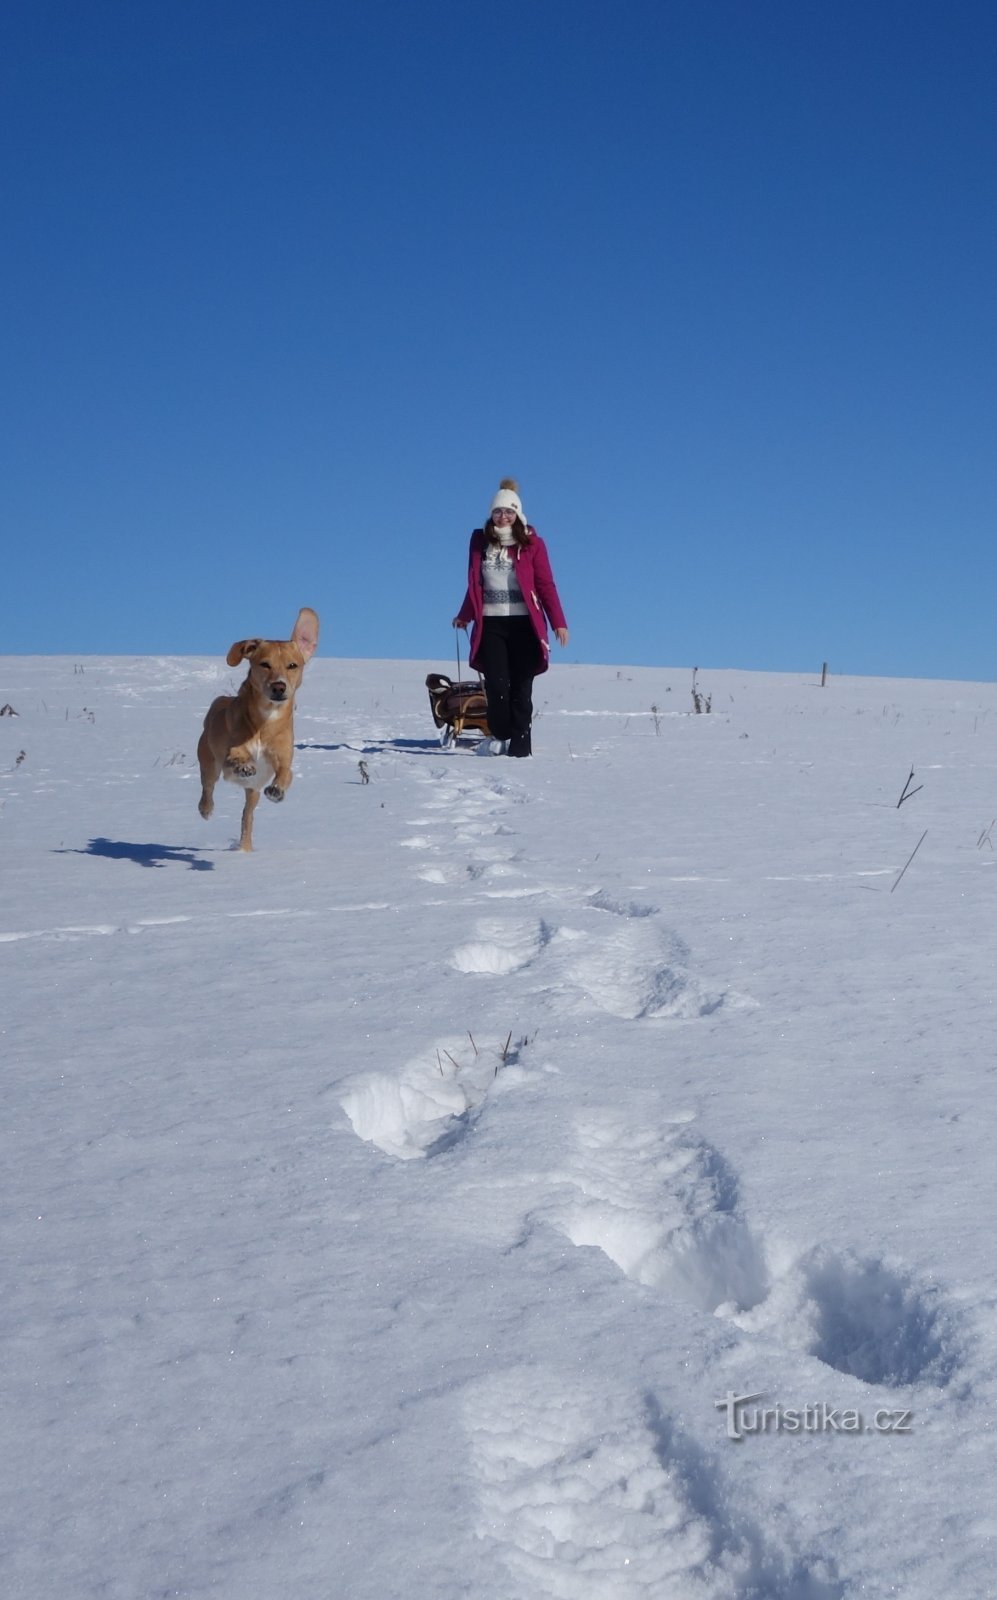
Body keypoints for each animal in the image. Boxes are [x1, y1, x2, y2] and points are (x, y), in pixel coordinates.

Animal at [196, 604, 318, 851]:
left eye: (293, 665)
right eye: (264, 664)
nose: (279, 686)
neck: (266, 721)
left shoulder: (283, 756)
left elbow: (286, 773)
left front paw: (277, 790)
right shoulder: (230, 752)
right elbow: (237, 756)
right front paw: (244, 765)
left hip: (253, 793)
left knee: (247, 816)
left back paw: (245, 847)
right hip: (208, 762)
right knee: (208, 787)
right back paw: (206, 809)